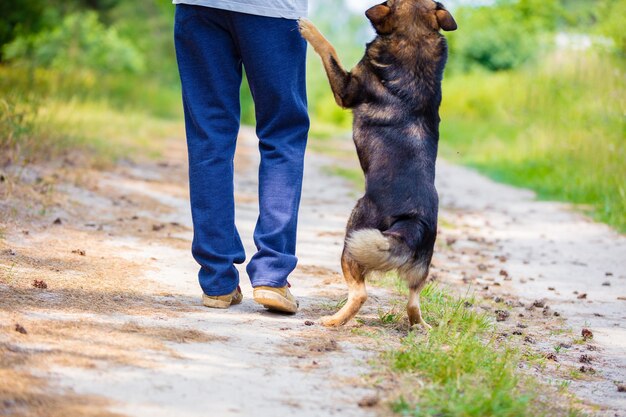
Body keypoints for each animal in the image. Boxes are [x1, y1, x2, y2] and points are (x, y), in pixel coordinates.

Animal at [298, 1, 454, 330]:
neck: (415, 41)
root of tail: (413, 221)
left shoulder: (346, 88)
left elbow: (328, 48)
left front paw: (308, 28)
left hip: (354, 232)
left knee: (360, 293)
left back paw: (333, 321)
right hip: (421, 265)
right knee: (413, 300)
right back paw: (420, 326)